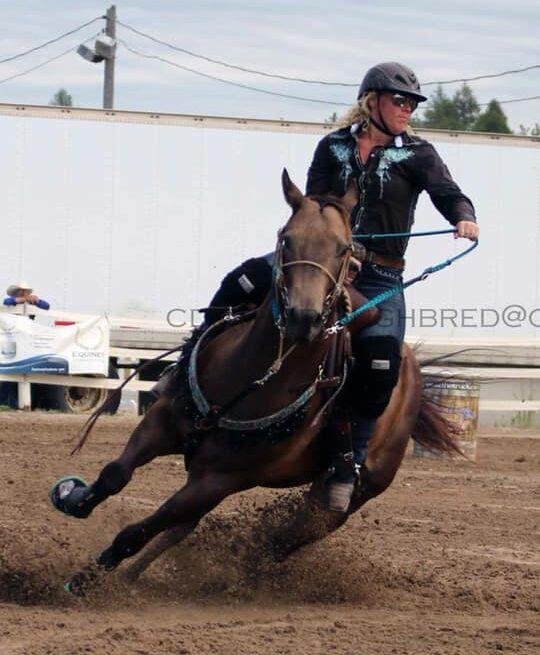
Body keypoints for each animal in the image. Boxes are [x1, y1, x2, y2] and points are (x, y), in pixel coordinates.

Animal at [50, 170, 460, 593]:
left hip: (350, 492)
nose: (303, 317)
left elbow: (137, 530)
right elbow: (115, 474)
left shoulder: (220, 478)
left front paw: (84, 582)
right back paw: (134, 575)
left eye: (344, 248)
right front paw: (72, 498)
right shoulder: (162, 423)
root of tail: (414, 378)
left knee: (286, 536)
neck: (253, 377)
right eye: (287, 238)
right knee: (182, 529)